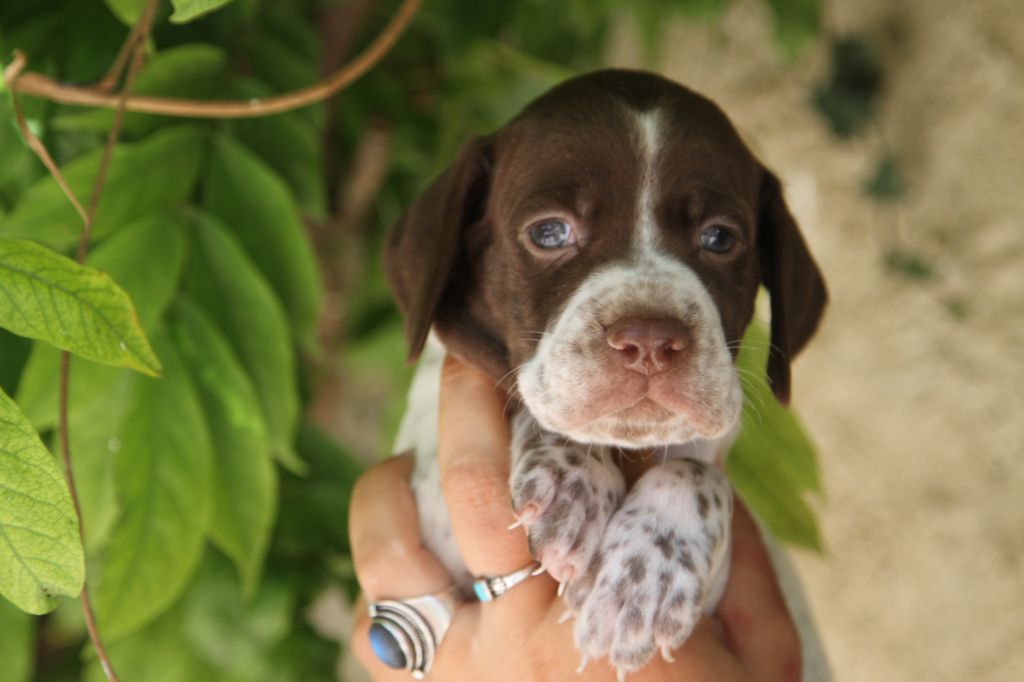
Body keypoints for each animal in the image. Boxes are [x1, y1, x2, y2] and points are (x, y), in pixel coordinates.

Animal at [387, 69, 827, 675]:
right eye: (549, 232)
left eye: (720, 238)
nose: (650, 342)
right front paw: (572, 475)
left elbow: (697, 474)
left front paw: (647, 574)